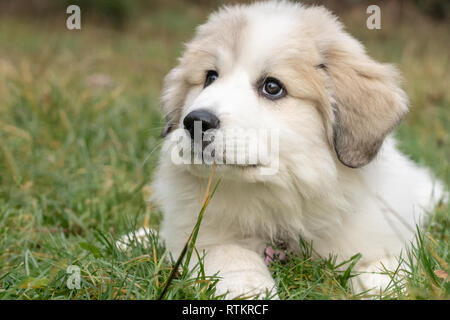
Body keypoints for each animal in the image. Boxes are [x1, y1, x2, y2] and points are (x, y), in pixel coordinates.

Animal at [149, 1, 446, 298]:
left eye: (272, 87)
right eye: (210, 77)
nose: (195, 121)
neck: (282, 206)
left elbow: (383, 272)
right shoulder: (203, 239)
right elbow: (234, 257)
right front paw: (252, 291)